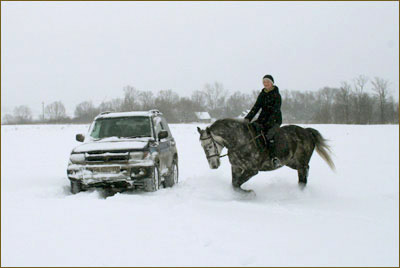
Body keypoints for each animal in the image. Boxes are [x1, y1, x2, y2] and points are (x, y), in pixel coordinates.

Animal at [197, 118, 334, 194]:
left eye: (210, 145)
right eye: (202, 146)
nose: (213, 165)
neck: (240, 141)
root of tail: (306, 131)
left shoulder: (252, 170)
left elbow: (236, 184)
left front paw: (250, 193)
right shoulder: (236, 167)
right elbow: (234, 184)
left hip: (301, 163)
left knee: (303, 178)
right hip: (292, 162)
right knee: (304, 175)